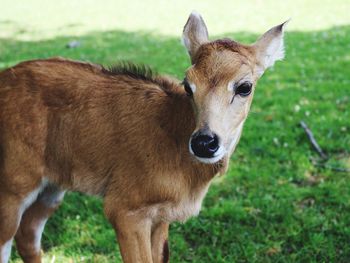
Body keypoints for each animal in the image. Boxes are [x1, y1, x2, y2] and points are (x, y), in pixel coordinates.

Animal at [0, 11, 288, 263]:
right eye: (188, 84)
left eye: (245, 87)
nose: (204, 143)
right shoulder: (124, 208)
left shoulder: (161, 216)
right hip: (14, 182)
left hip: (52, 186)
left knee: (28, 234)